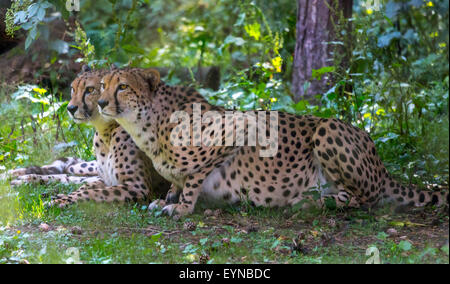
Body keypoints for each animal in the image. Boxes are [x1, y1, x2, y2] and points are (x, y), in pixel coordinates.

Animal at [12, 67, 171, 207]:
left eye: (90, 90)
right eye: (73, 88)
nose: (70, 108)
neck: (106, 131)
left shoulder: (138, 187)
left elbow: (93, 192)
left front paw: (61, 200)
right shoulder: (105, 179)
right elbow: (86, 187)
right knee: (70, 171)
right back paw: (20, 175)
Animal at [96, 67, 448, 216]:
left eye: (122, 87)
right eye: (102, 85)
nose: (99, 103)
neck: (149, 125)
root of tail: (383, 168)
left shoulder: (241, 124)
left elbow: (194, 174)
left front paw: (181, 206)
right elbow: (176, 178)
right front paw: (169, 197)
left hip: (327, 129)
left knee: (366, 198)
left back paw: (313, 202)